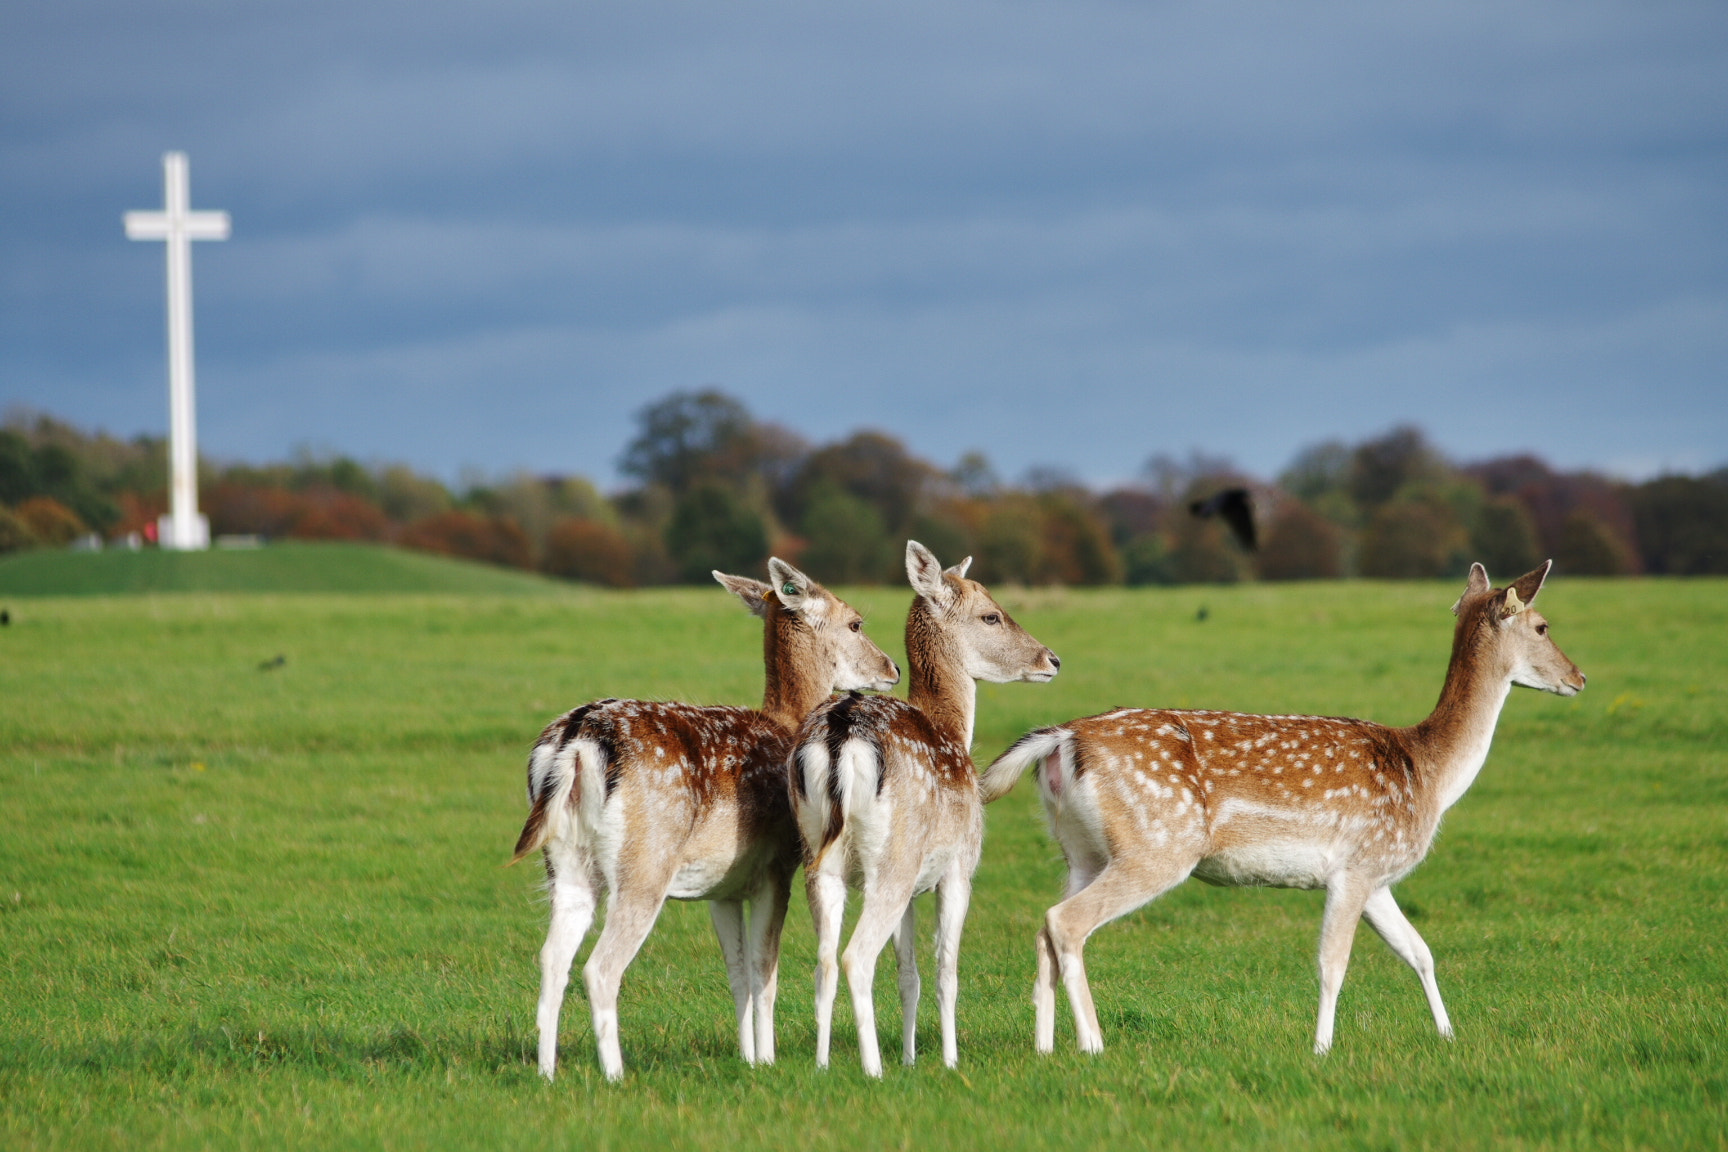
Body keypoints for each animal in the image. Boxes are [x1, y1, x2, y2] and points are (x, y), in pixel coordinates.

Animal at [504, 559, 898, 1084]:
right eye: (856, 622)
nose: (892, 668)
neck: (786, 721)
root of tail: (574, 741)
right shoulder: (777, 867)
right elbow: (764, 969)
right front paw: (767, 1057)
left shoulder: (723, 887)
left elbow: (736, 971)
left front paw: (748, 1058)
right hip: (644, 862)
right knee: (600, 967)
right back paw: (615, 1074)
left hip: (563, 860)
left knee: (552, 958)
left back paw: (547, 1072)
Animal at [791, 542, 1057, 1084]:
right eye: (991, 615)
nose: (1052, 659)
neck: (954, 731)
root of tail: (840, 736)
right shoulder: (958, 867)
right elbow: (945, 972)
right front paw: (949, 1060)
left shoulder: (915, 887)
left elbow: (908, 973)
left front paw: (913, 1057)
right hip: (891, 861)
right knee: (855, 958)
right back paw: (873, 1068)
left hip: (820, 858)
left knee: (824, 962)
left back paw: (823, 1066)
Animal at [981, 563, 1582, 1057]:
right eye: (1543, 626)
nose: (1579, 677)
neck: (1428, 773)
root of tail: (1061, 740)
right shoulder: (1356, 866)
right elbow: (1333, 964)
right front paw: (1322, 1049)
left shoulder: (1377, 876)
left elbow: (1419, 952)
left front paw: (1448, 1035)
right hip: (1158, 844)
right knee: (1066, 922)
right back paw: (1093, 1044)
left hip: (1082, 850)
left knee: (1044, 925)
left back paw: (1044, 1048)